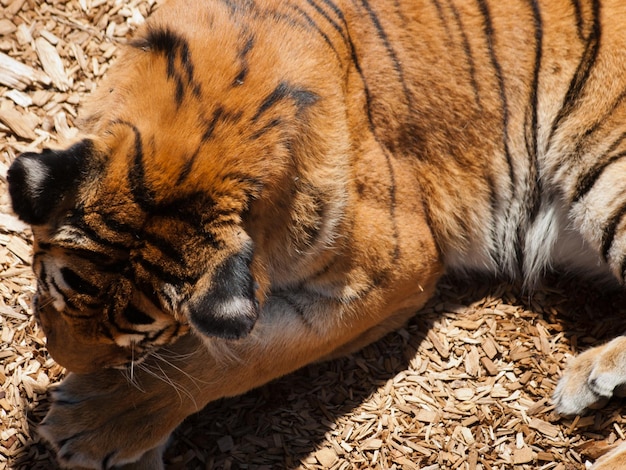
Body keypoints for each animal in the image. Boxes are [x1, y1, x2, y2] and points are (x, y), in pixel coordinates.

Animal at [8, 0, 626, 468]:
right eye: (47, 297)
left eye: (138, 339)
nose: (60, 359)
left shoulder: (397, 269)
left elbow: (241, 354)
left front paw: (95, 420)